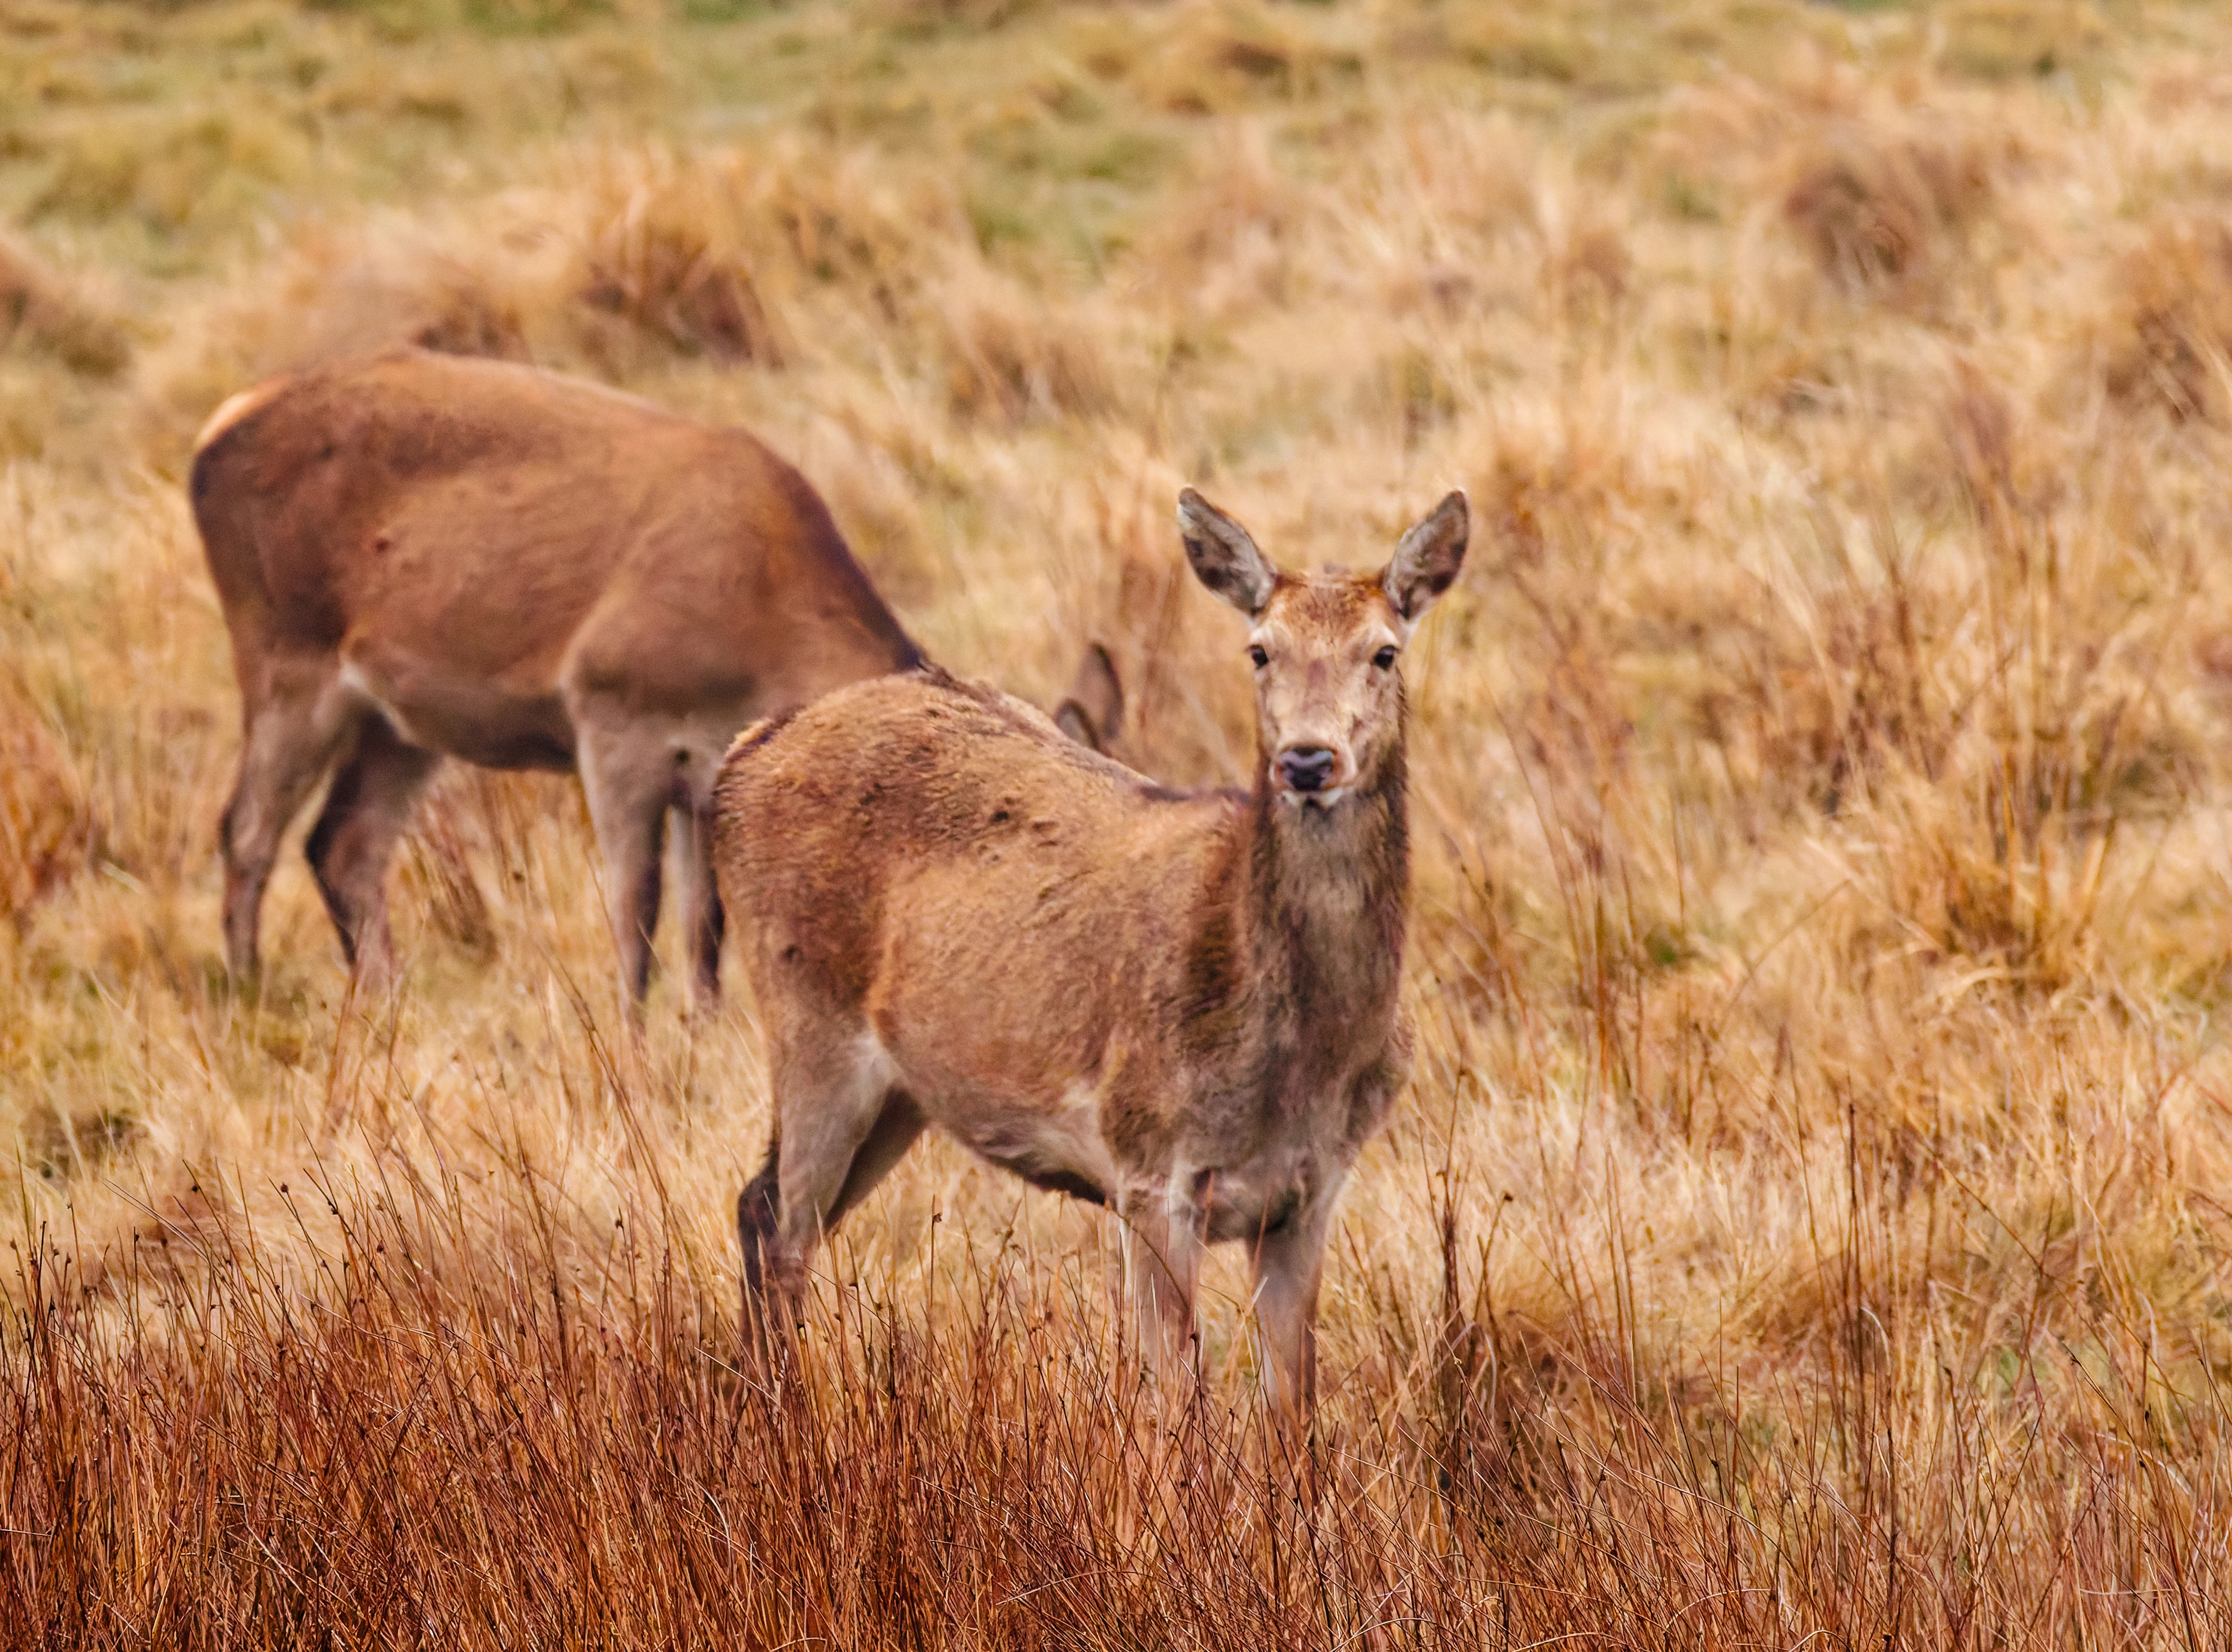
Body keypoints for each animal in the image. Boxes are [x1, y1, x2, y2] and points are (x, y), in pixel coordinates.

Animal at [189, 347, 931, 1012]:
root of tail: (217, 427)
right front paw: (634, 1042)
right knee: (246, 829)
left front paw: (701, 1034)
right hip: (286, 651)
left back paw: (384, 1001)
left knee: (343, 842)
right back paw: (248, 992)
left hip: (397, 719)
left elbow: (704, 930)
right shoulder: (612, 712)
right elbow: (637, 908)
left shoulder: (707, 774)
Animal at [713, 484, 1469, 1420]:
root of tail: (741, 755)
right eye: (1261, 648)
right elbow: (1178, 1403)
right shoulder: (1149, 1166)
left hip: (902, 1089)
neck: (1301, 1061)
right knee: (780, 1227)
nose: (1306, 759)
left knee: (765, 1207)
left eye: (1385, 651)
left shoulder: (1312, 1190)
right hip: (806, 1018)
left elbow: (1292, 1408)